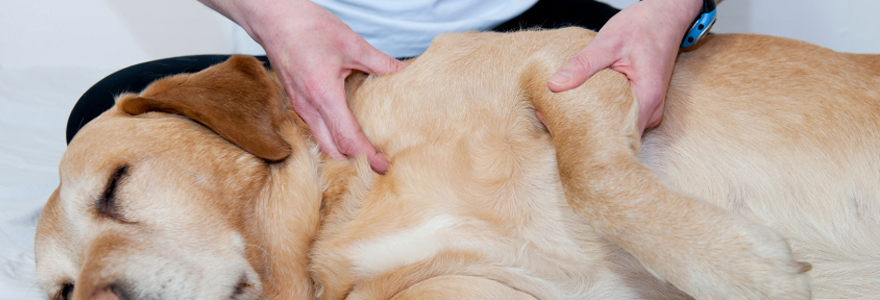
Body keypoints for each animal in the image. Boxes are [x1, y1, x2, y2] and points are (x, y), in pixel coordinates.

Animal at [34, 28, 880, 300]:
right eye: (62, 293)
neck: (341, 208)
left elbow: (594, 178)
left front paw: (745, 273)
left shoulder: (571, 64)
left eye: (116, 186)